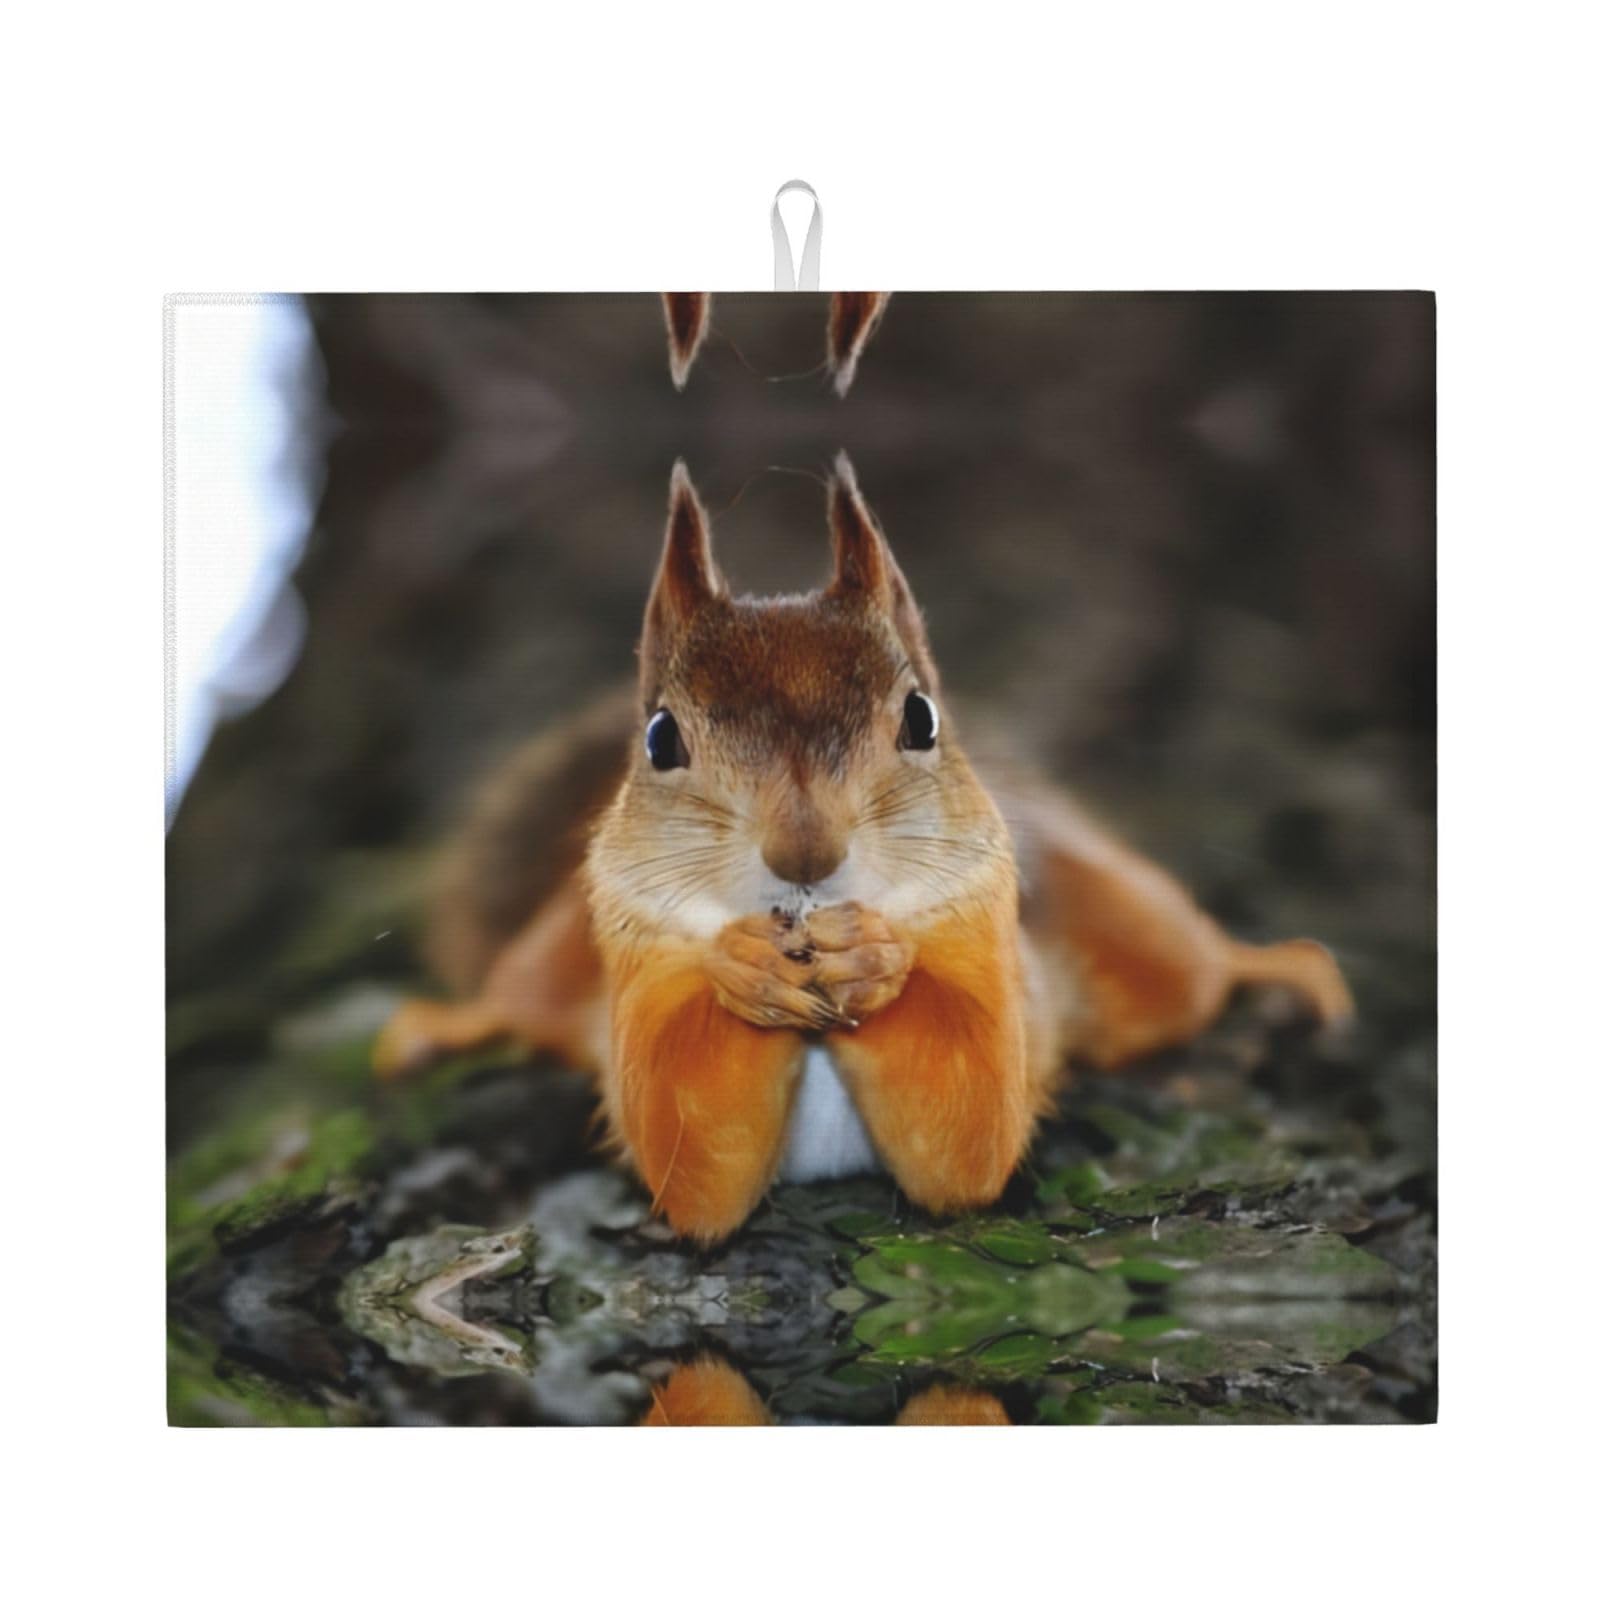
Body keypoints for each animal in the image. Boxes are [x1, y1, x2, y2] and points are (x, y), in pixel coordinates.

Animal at [374, 454, 1352, 1243]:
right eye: (659, 739)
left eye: (921, 719)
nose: (805, 853)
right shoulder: (638, 965)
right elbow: (691, 1155)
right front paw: (742, 968)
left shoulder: (992, 952)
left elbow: (970, 1126)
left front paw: (874, 958)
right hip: (554, 958)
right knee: (516, 998)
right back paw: (438, 1030)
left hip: (1130, 932)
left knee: (1190, 969)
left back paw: (1281, 966)